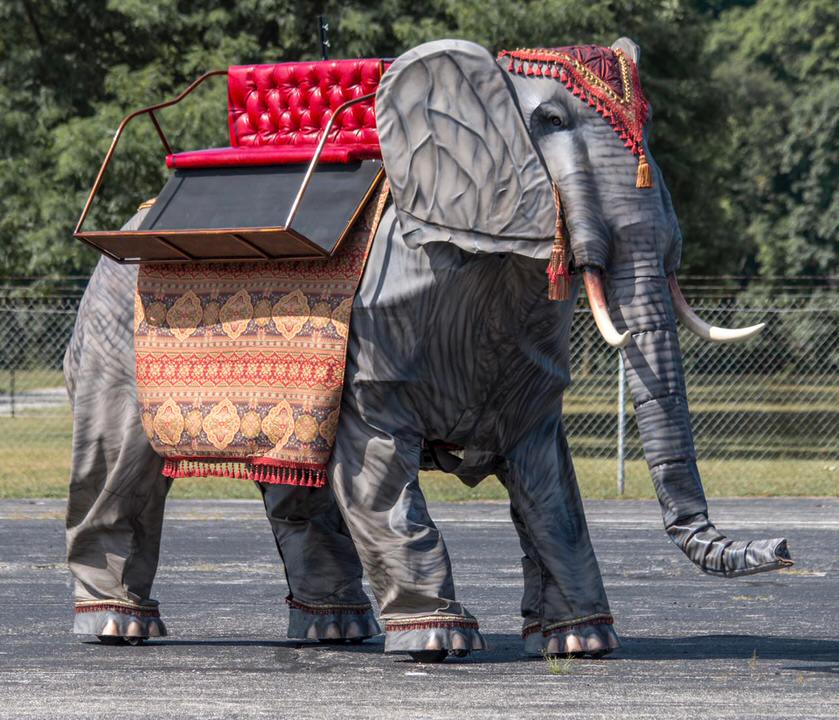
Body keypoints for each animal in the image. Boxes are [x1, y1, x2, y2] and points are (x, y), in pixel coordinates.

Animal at [64, 36, 793, 663]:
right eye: (551, 119)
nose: (784, 546)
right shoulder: (377, 338)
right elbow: (378, 467)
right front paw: (439, 643)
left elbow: (546, 483)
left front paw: (581, 643)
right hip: (111, 325)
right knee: (120, 462)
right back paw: (117, 628)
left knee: (293, 482)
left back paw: (333, 631)